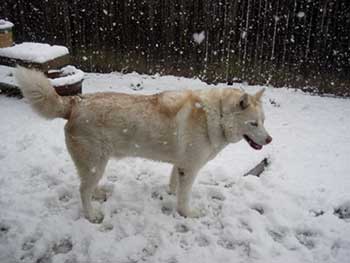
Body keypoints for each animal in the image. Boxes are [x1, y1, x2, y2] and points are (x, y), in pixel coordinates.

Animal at [15, 67, 274, 224]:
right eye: (253, 123)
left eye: (263, 121)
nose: (270, 140)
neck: (216, 116)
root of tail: (75, 102)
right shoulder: (190, 168)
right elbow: (184, 197)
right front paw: (186, 213)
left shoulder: (180, 165)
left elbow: (174, 185)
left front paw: (171, 193)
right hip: (95, 163)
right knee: (82, 190)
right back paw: (92, 215)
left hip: (96, 165)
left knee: (86, 186)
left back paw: (99, 193)